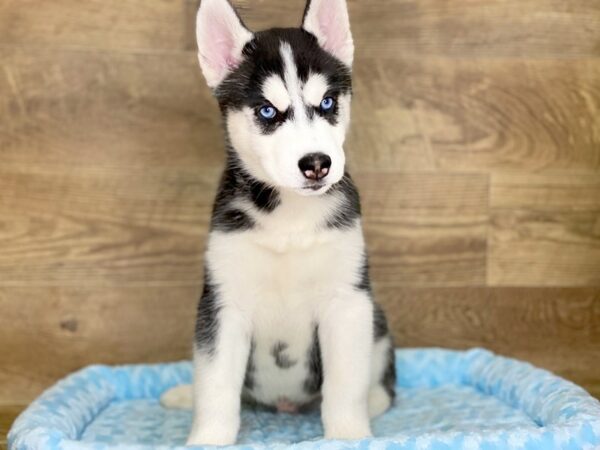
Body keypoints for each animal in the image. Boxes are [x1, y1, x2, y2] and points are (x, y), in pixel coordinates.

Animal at [159, 0, 396, 444]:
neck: (290, 220)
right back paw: (184, 394)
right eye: (268, 111)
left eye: (327, 103)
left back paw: (376, 400)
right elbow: (216, 386)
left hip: (377, 321)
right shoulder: (222, 304)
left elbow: (345, 385)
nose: (317, 164)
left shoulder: (347, 301)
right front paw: (208, 439)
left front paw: (349, 435)